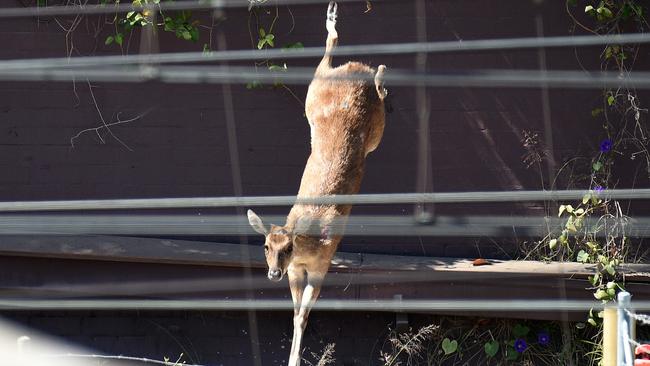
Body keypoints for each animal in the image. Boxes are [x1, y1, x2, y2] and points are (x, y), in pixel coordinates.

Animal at [244, 2, 384, 366]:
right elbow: (295, 313)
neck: (308, 248)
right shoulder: (296, 271)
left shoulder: (323, 264)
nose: (272, 274)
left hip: (361, 122)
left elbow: (304, 314)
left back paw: (378, 72)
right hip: (316, 94)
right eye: (265, 246)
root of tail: (355, 68)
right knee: (326, 60)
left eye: (287, 247)